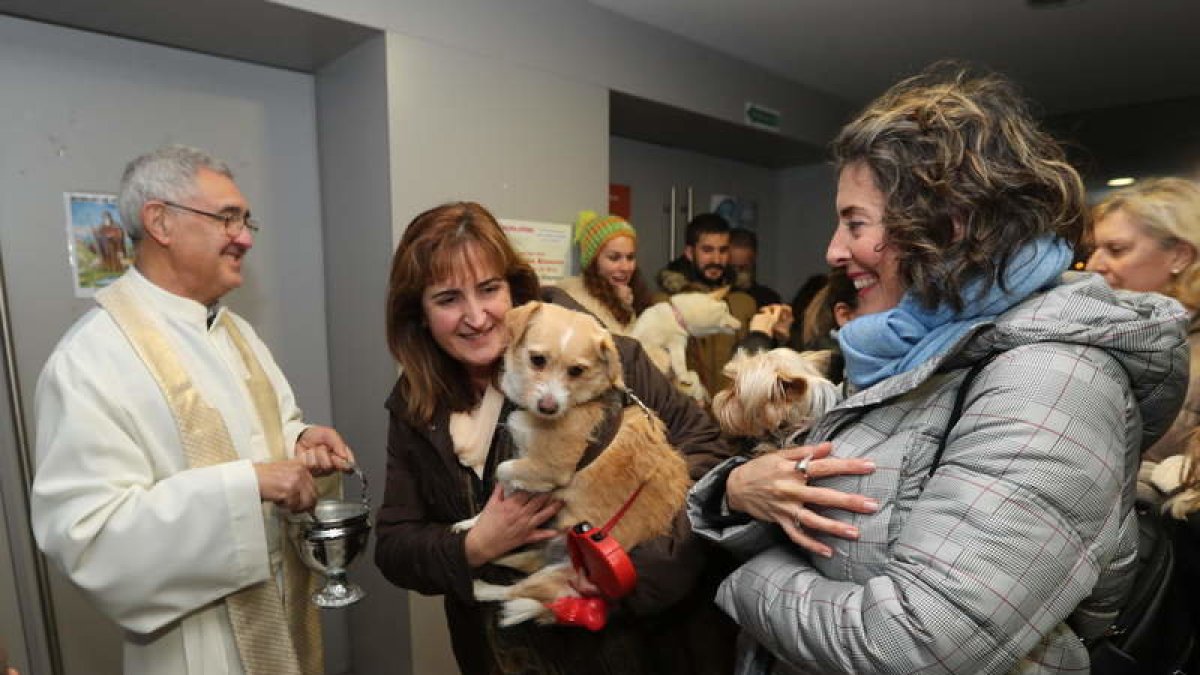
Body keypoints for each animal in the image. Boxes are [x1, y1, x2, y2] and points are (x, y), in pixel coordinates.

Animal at [468, 300, 696, 624]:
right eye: (537, 360)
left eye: (577, 371)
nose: (548, 407)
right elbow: (508, 487)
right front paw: (474, 522)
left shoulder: (549, 469)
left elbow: (504, 471)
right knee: (516, 563)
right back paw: (490, 550)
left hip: (560, 575)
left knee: (513, 591)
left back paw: (480, 588)